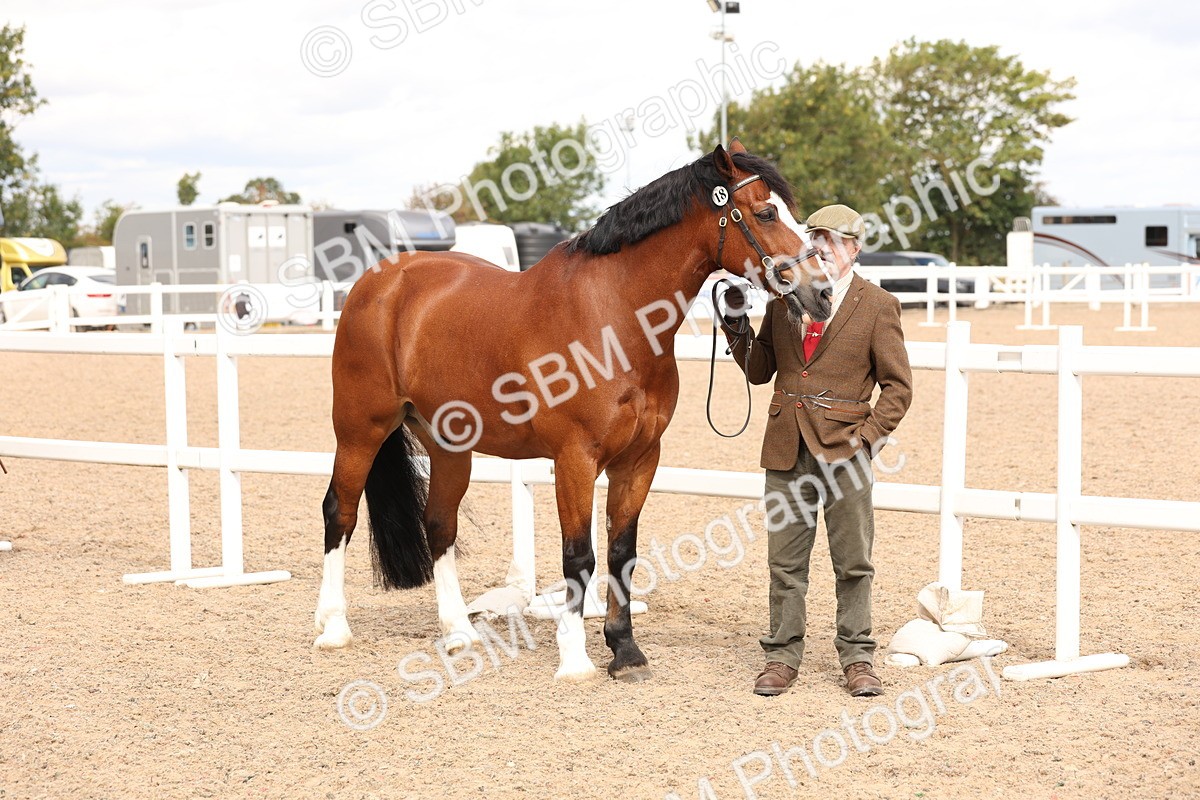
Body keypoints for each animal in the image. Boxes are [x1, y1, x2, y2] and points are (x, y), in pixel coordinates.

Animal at [313, 140, 833, 682]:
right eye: (766, 212)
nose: (821, 292)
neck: (614, 317)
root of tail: (377, 282)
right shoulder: (575, 459)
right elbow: (578, 555)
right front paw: (575, 657)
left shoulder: (640, 459)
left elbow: (621, 552)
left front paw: (625, 651)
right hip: (360, 430)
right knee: (340, 511)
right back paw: (333, 627)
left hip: (448, 444)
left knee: (439, 525)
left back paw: (459, 633)